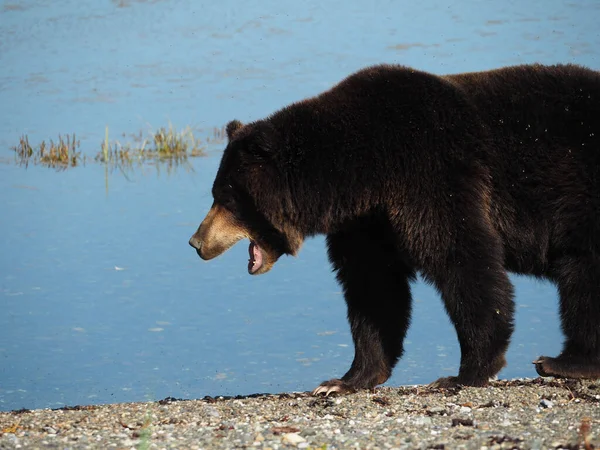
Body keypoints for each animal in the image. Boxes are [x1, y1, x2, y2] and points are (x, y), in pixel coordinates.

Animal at [189, 62, 600, 394]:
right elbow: (373, 288)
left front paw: (466, 371)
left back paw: (564, 361)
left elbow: (461, 257)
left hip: (578, 196)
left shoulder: (430, 172)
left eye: (226, 197)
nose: (196, 241)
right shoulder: (367, 222)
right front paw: (345, 379)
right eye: (216, 193)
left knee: (581, 278)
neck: (362, 173)